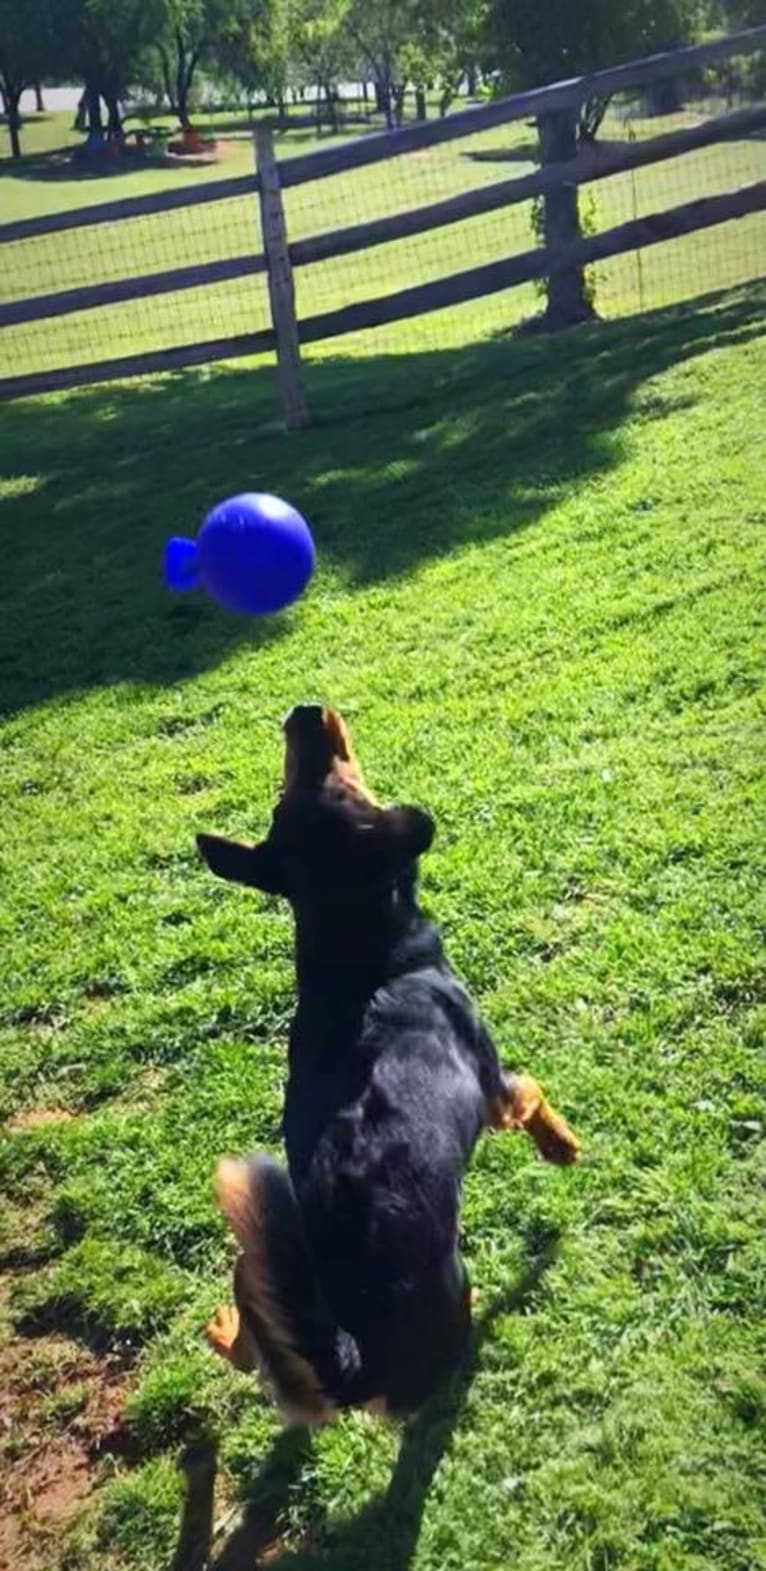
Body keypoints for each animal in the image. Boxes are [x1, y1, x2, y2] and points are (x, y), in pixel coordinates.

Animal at [197, 710, 580, 1426]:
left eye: (285, 796)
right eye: (345, 785)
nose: (303, 710)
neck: (356, 950)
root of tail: (357, 1360)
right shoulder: (492, 1086)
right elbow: (532, 1091)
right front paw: (561, 1146)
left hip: (263, 1265)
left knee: (259, 1348)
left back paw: (226, 1328)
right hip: (451, 1302)